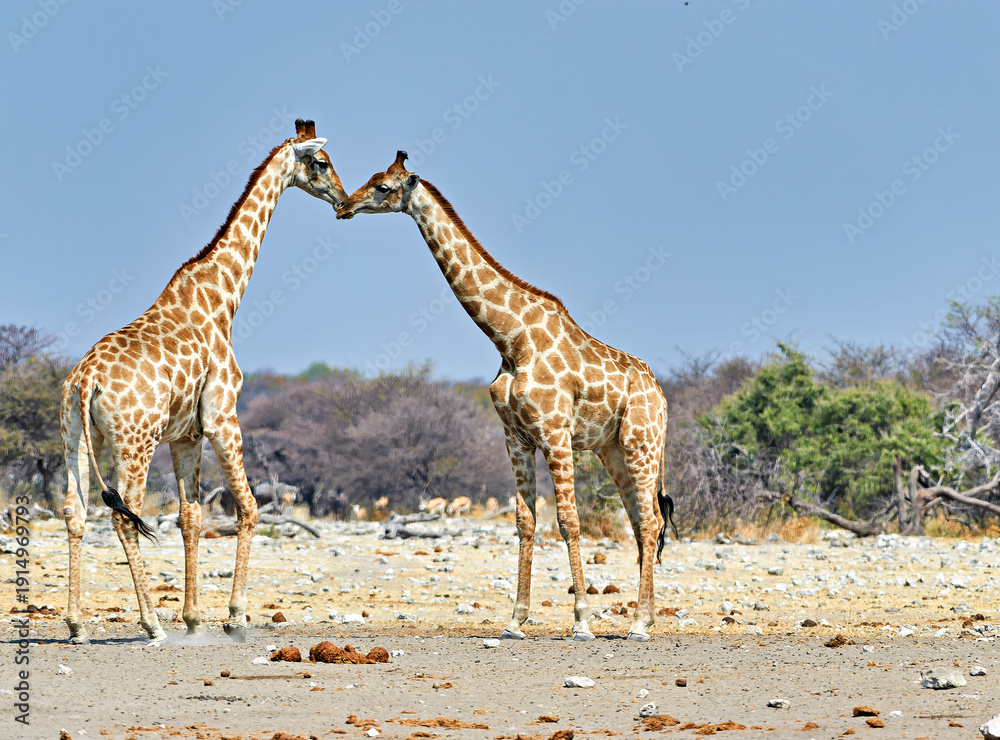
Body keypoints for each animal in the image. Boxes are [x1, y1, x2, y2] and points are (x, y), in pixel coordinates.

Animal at [59, 119, 347, 645]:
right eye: (321, 162)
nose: (340, 198)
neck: (222, 297)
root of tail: (84, 380)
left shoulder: (186, 435)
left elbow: (190, 516)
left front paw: (194, 619)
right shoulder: (222, 417)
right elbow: (248, 508)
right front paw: (234, 617)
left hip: (75, 437)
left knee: (75, 511)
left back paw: (76, 625)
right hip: (134, 442)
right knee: (123, 515)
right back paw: (151, 624)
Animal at [337, 151, 675, 641]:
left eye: (383, 186)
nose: (343, 205)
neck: (510, 339)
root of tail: (662, 396)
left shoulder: (554, 434)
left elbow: (568, 521)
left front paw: (581, 622)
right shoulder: (516, 438)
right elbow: (525, 521)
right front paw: (515, 620)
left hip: (640, 443)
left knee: (650, 521)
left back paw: (639, 625)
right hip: (611, 449)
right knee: (639, 521)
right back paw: (644, 618)